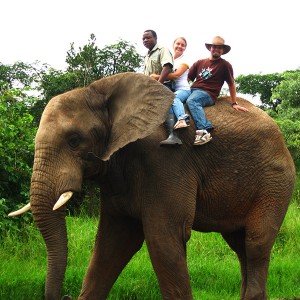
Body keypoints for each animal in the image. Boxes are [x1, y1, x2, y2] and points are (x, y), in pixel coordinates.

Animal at [9, 72, 296, 300]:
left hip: (275, 181)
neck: (100, 91)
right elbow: (113, 242)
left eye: (74, 141)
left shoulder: (165, 162)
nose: (65, 296)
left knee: (256, 243)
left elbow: (163, 239)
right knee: (240, 245)